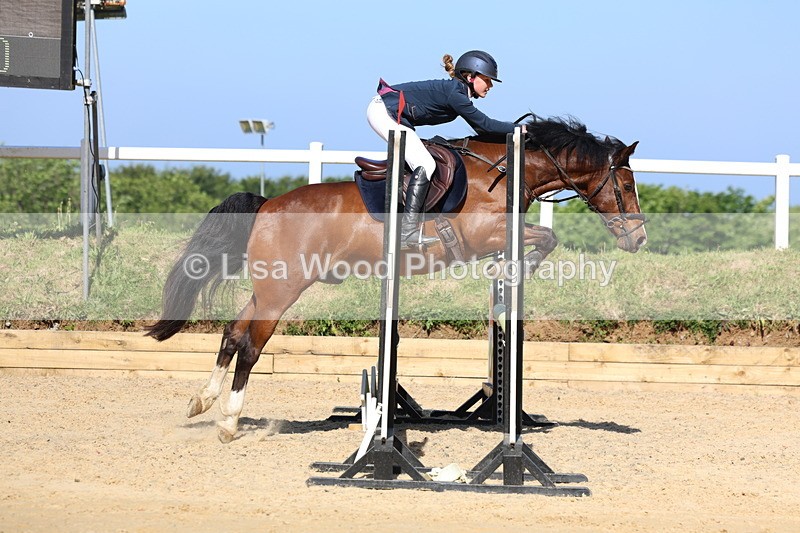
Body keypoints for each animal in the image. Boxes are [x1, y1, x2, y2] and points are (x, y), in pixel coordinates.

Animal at [147, 116, 648, 443]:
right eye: (626, 186)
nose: (638, 239)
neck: (502, 174)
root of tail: (267, 204)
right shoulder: (481, 234)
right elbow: (547, 236)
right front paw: (517, 268)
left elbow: (543, 238)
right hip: (283, 290)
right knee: (251, 344)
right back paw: (229, 422)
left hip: (268, 286)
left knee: (233, 333)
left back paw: (203, 402)